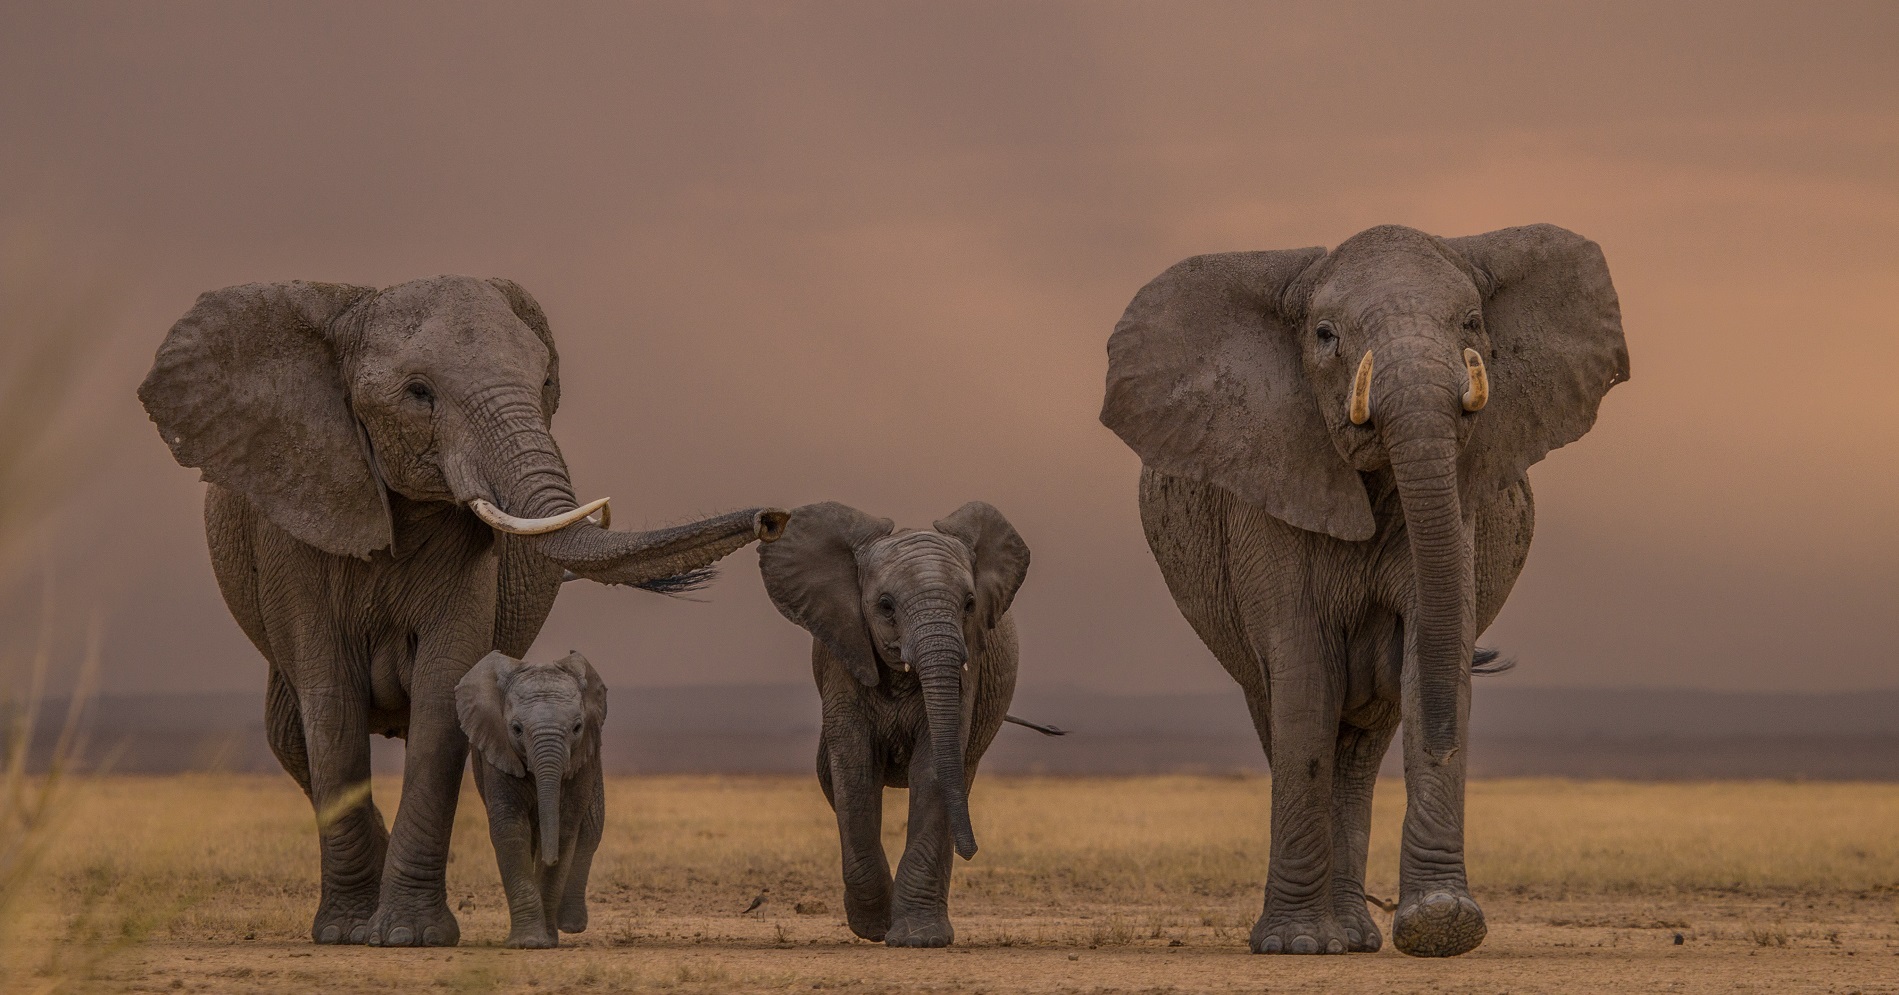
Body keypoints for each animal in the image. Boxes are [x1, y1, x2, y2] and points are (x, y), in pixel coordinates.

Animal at [455, 653, 603, 949]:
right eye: (516, 729)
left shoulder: (584, 760)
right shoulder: (497, 749)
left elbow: (566, 828)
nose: (551, 859)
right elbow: (510, 829)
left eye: (577, 728)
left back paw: (569, 925)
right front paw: (529, 943)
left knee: (590, 832)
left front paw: (545, 940)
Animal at [755, 501, 1033, 945]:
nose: (973, 851)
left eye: (970, 605)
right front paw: (873, 928)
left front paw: (919, 938)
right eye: (885, 606)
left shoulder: (969, 665)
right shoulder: (843, 655)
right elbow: (854, 769)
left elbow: (934, 767)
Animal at [1109, 225, 1625, 957]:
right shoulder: (1267, 487)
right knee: (1288, 715)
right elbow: (1303, 675)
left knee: (1362, 745)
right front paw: (1294, 945)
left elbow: (1429, 653)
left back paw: (1353, 936)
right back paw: (1325, 936)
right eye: (1326, 335)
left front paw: (1442, 924)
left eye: (1472, 324)